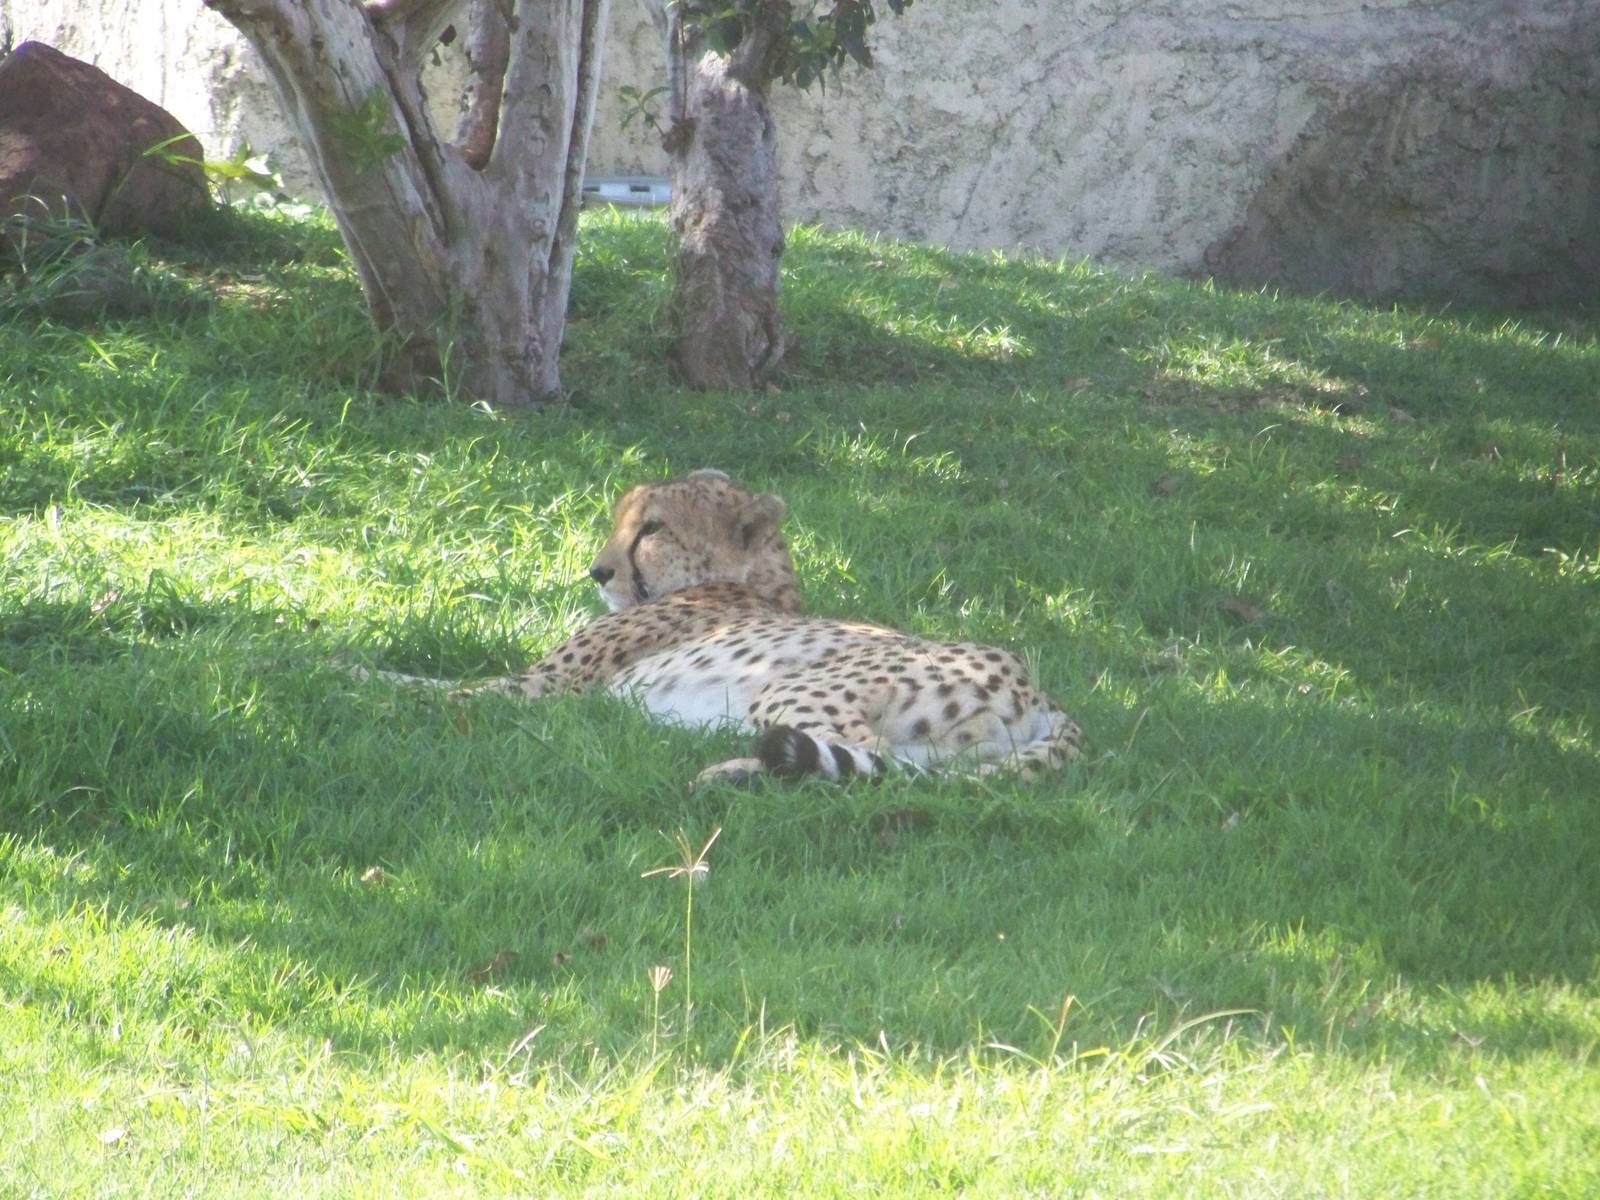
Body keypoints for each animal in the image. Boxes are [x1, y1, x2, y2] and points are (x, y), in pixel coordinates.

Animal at [360, 469, 1082, 789]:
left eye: (650, 529)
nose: (597, 572)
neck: (756, 581)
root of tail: (1036, 686)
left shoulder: (533, 691)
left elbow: (419, 685)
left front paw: (338, 675)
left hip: (793, 691)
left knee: (854, 754)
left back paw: (735, 771)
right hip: (943, 753)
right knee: (891, 769)